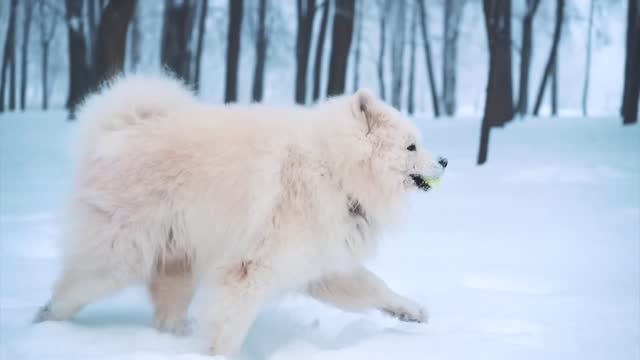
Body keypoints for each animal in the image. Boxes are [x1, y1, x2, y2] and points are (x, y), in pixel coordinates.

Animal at [33, 74, 444, 356]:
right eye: (411, 146)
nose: (444, 161)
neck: (333, 170)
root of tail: (117, 132)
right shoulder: (251, 267)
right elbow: (230, 323)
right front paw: (217, 354)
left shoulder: (319, 264)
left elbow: (374, 286)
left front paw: (411, 311)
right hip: (119, 258)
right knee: (69, 292)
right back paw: (43, 324)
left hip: (178, 261)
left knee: (165, 310)